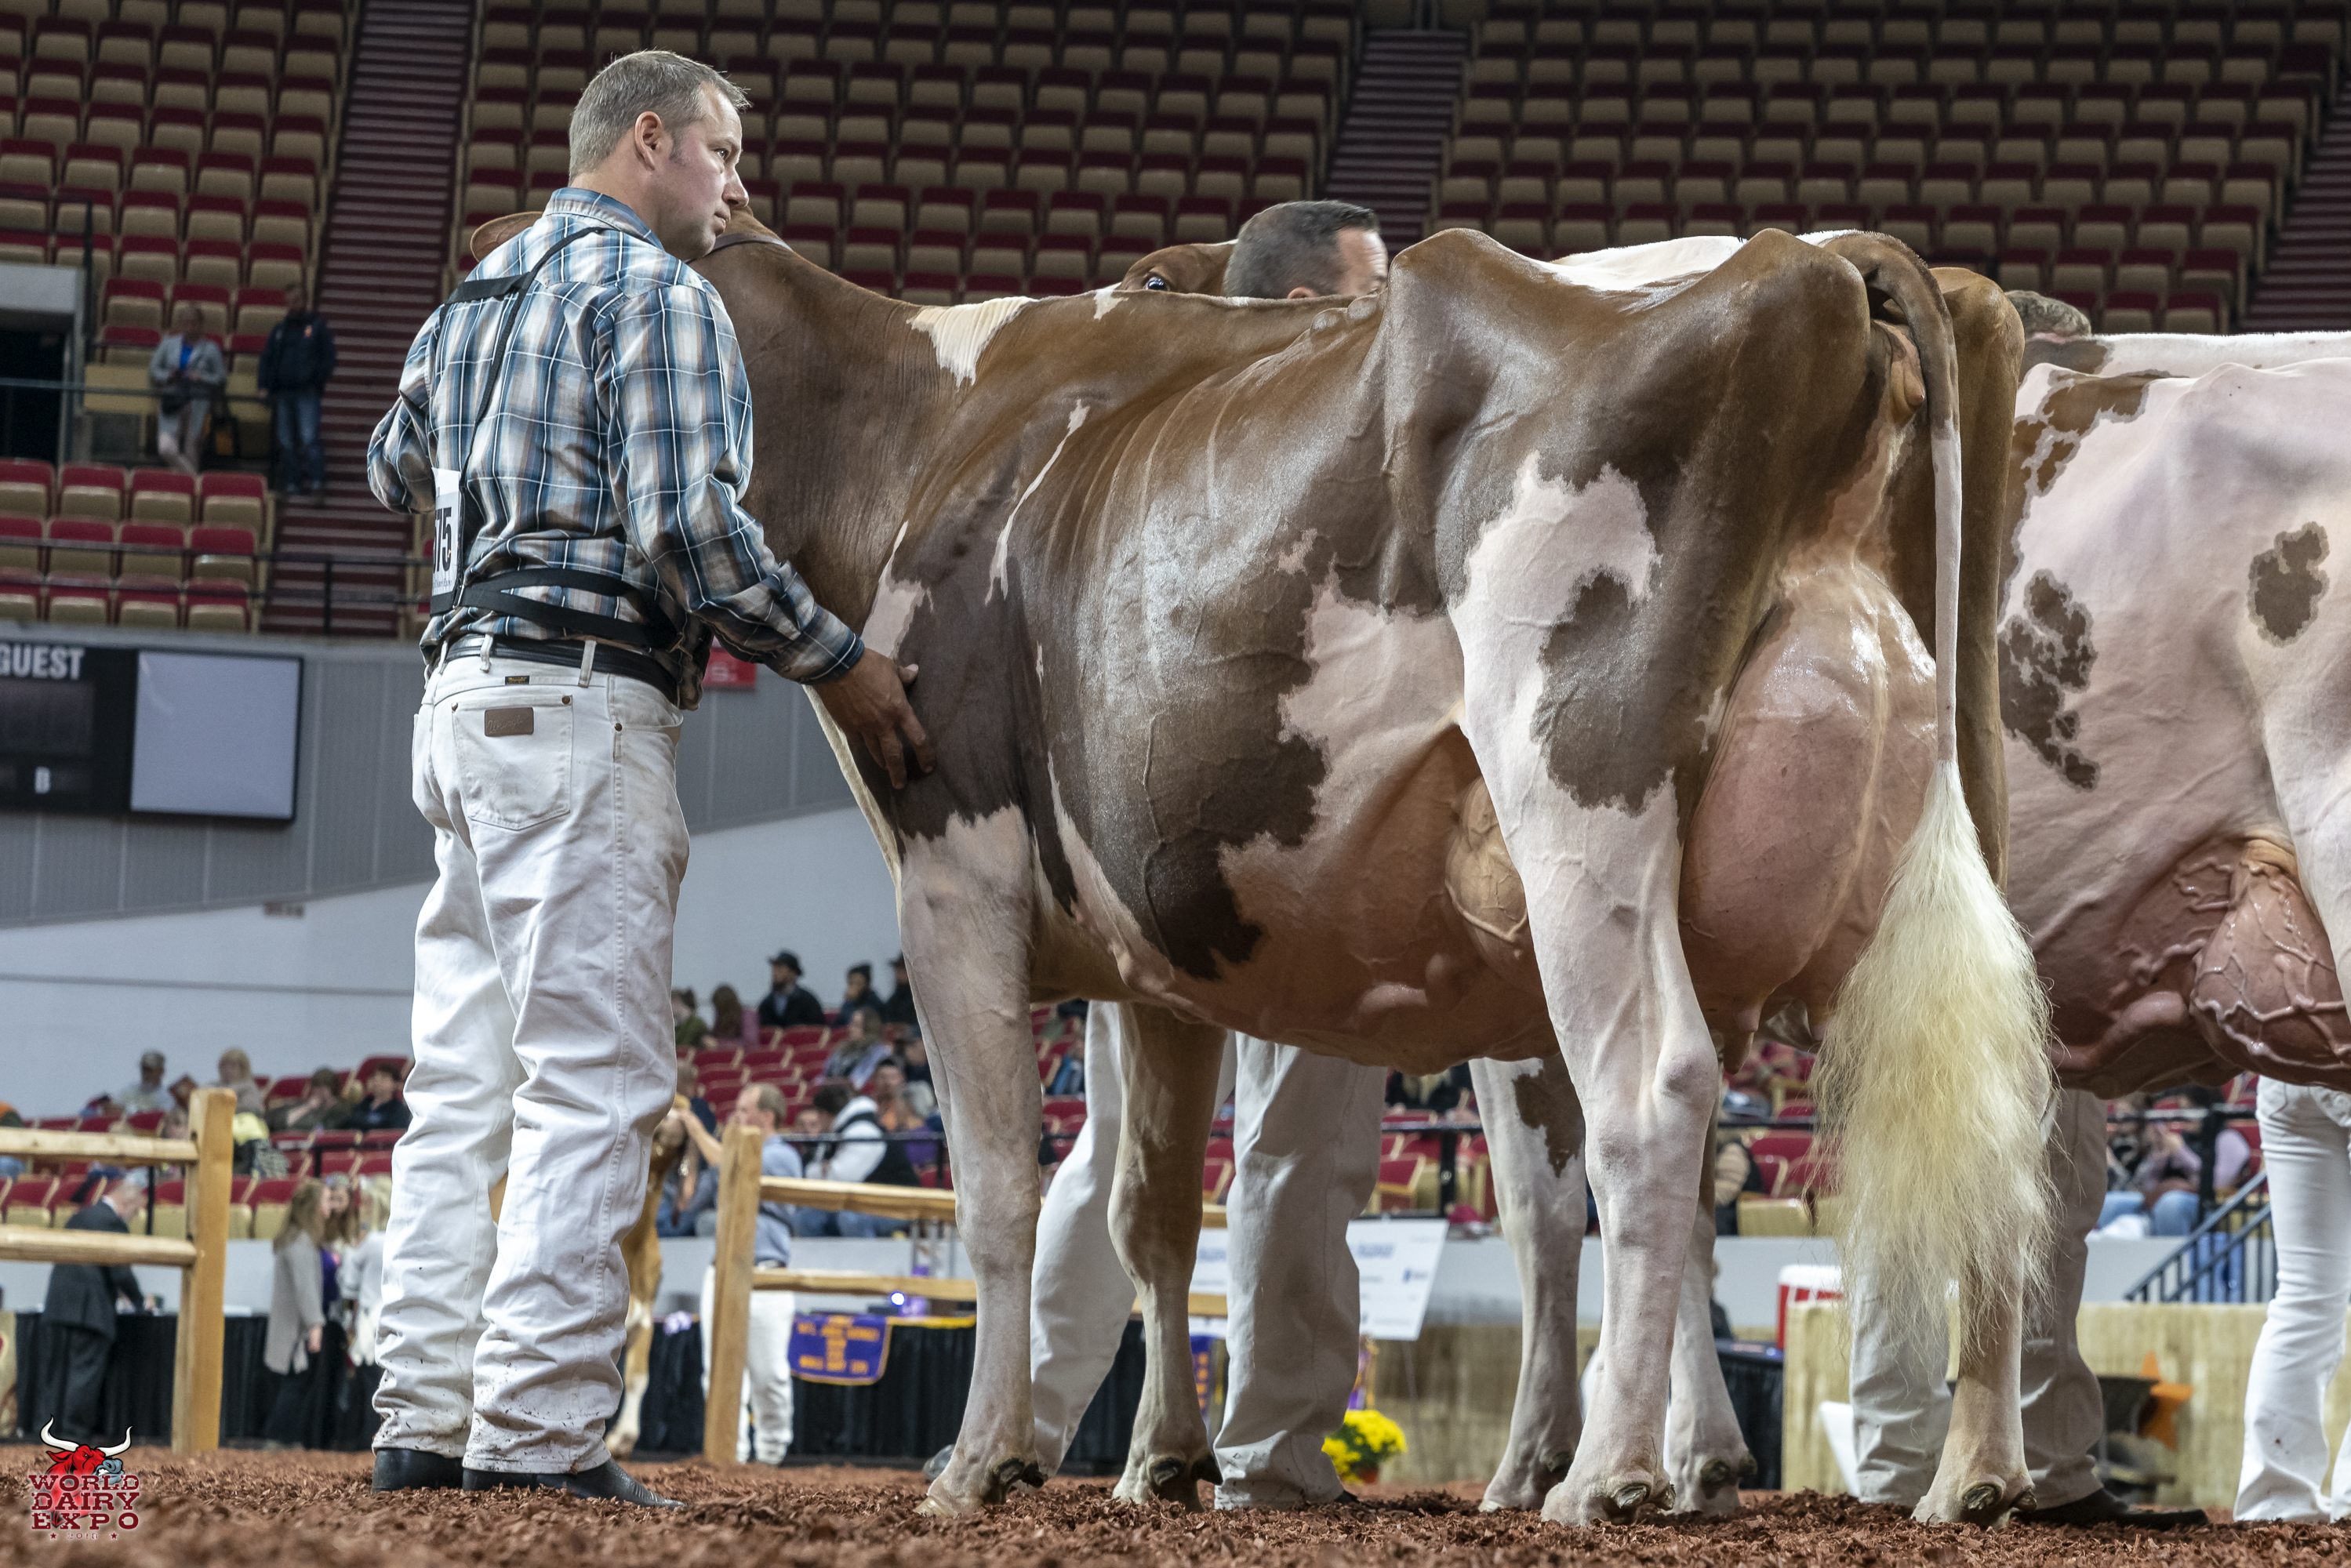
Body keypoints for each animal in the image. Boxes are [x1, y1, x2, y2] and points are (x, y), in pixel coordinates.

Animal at [659, 205, 2051, 1527]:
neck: (919, 431)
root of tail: (1819, 257)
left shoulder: (953, 875)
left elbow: (998, 1189)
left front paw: (978, 1462)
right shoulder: (1154, 956)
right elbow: (1150, 1210)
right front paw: (1160, 1460)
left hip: (1578, 799)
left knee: (1651, 1096)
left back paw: (1603, 1475)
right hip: (1955, 803)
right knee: (1996, 1110)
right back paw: (1973, 1476)